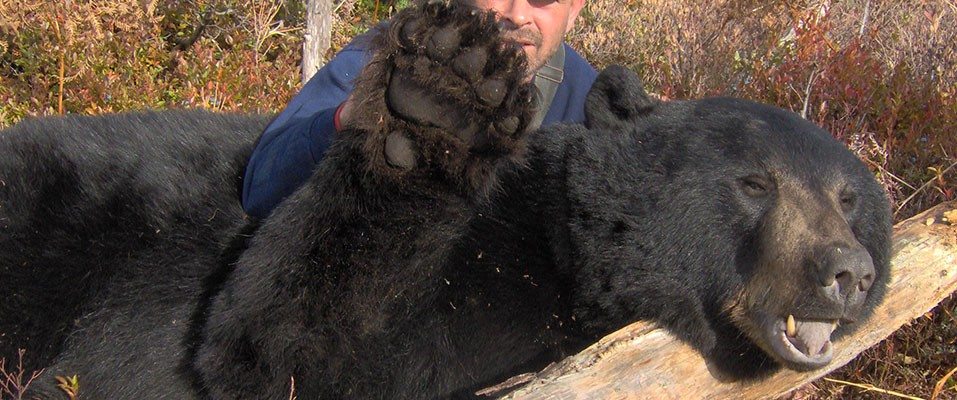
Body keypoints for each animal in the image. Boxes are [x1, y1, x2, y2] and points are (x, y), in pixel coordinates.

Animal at [0, 1, 891, 399]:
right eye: (752, 181)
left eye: (849, 198)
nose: (845, 272)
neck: (568, 261)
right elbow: (275, 347)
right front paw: (440, 97)